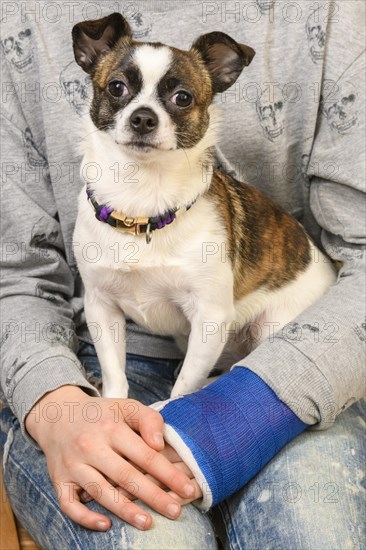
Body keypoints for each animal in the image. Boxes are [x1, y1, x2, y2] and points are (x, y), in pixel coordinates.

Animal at [72, 12, 338, 398]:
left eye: (182, 98)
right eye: (117, 87)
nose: (143, 117)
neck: (141, 197)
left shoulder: (209, 319)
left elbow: (186, 385)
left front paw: (169, 407)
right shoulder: (101, 307)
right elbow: (115, 374)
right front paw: (112, 401)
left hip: (270, 326)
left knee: (236, 370)